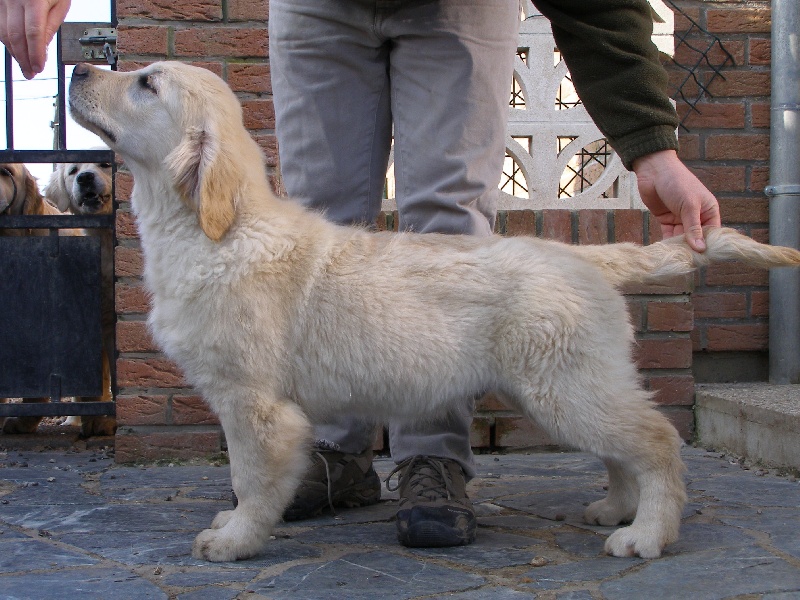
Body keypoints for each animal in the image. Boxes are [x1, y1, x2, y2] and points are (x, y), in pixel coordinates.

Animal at [68, 61, 800, 562]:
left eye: (146, 84)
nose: (78, 67)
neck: (216, 228)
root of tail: (587, 256)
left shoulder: (255, 406)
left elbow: (249, 480)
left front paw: (235, 540)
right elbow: (246, 480)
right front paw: (233, 528)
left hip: (565, 386)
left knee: (656, 442)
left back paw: (647, 533)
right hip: (574, 383)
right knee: (624, 447)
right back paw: (616, 509)